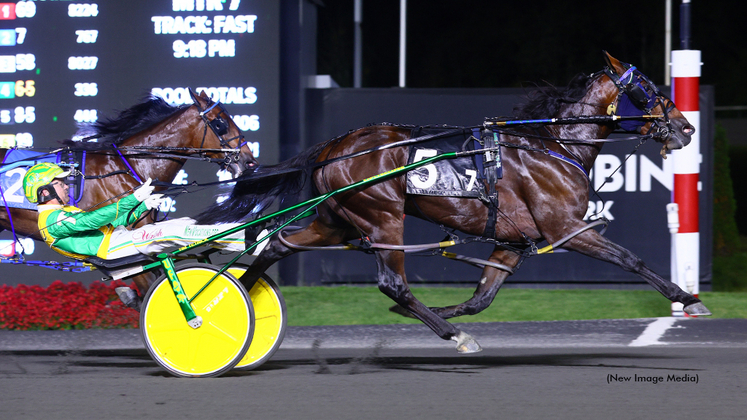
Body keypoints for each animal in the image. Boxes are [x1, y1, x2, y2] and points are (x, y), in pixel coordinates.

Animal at [199, 53, 712, 354]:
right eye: (648, 87)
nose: (685, 127)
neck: (554, 145)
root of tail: (333, 147)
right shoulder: (565, 227)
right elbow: (629, 258)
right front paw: (687, 297)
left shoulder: (513, 240)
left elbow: (482, 296)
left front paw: (444, 313)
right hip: (381, 216)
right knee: (392, 282)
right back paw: (452, 336)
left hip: (335, 220)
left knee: (278, 246)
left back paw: (232, 302)